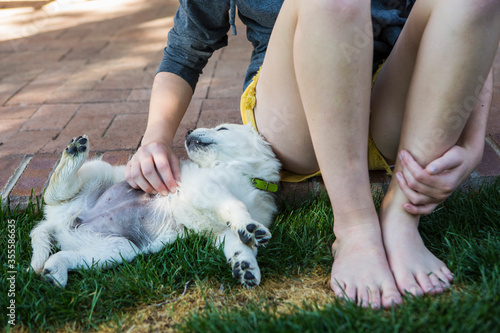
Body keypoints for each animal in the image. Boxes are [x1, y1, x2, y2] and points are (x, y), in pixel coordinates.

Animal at [30, 124, 282, 288]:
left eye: (222, 129)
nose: (188, 131)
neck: (244, 173)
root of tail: (57, 222)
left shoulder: (221, 232)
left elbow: (238, 245)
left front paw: (245, 266)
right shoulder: (210, 189)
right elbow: (235, 205)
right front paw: (250, 226)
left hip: (117, 249)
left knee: (65, 254)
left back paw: (55, 271)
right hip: (98, 173)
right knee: (53, 193)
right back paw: (74, 152)